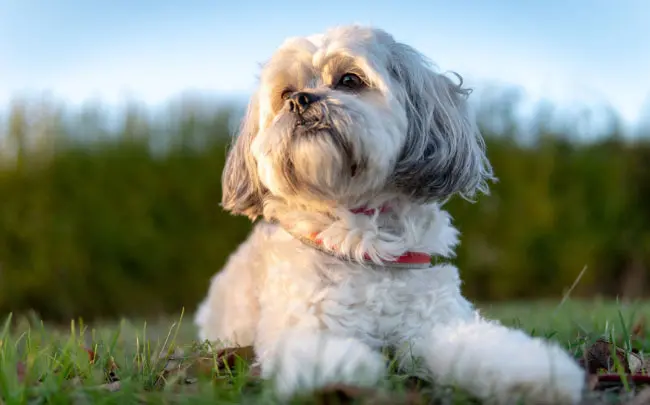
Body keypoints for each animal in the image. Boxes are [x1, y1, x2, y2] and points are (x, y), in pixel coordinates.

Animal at [195, 26, 584, 404]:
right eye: (285, 92)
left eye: (349, 80)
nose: (299, 100)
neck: (363, 240)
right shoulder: (305, 319)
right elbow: (319, 350)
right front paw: (342, 369)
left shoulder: (436, 322)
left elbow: (482, 347)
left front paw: (535, 374)